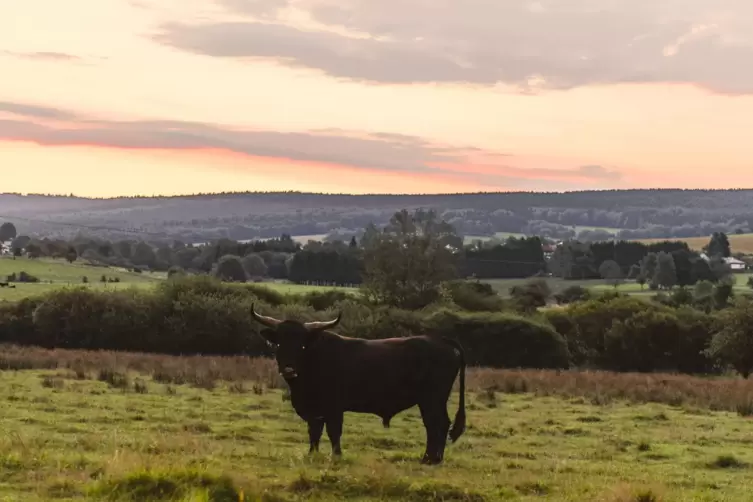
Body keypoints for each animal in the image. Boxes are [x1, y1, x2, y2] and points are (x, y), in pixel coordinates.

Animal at [251, 304, 464, 464]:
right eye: (279, 344)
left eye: (302, 345)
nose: (288, 369)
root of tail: (441, 340)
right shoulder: (315, 410)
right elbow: (314, 432)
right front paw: (312, 454)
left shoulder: (334, 408)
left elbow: (333, 432)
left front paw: (336, 456)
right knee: (435, 425)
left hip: (432, 399)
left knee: (437, 424)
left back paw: (430, 459)